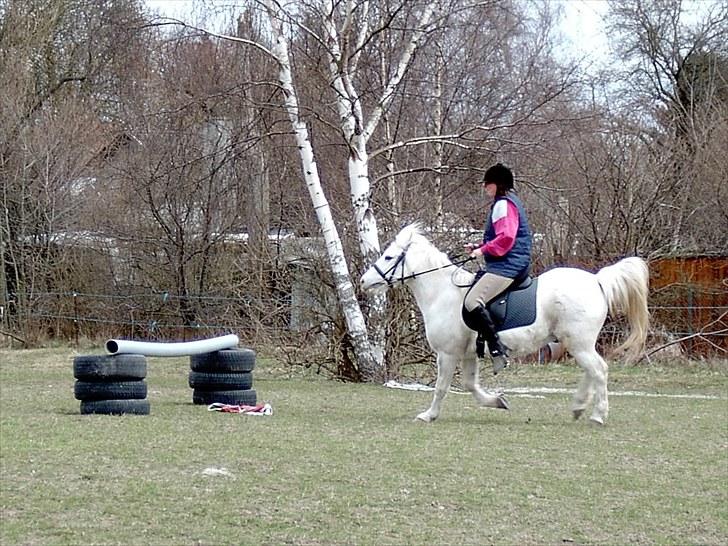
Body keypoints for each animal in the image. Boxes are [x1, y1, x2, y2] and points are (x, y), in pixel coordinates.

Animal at [362, 222, 652, 424]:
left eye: (388, 257)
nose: (364, 281)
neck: (443, 293)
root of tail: (596, 280)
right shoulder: (468, 354)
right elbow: (470, 385)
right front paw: (498, 401)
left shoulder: (448, 353)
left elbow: (442, 387)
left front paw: (428, 415)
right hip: (576, 343)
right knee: (592, 371)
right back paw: (579, 406)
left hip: (578, 343)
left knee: (599, 370)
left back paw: (597, 415)